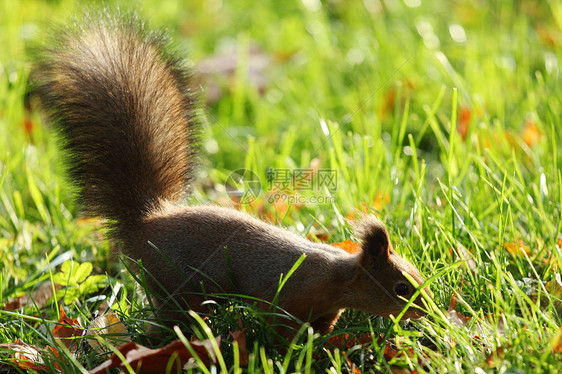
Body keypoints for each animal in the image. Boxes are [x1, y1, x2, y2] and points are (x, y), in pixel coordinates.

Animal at [32, 13, 426, 336]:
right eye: (401, 288)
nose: (425, 311)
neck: (336, 277)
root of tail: (143, 221)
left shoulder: (326, 310)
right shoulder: (287, 297)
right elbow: (281, 329)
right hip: (173, 284)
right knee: (171, 318)